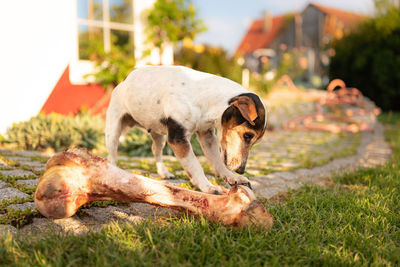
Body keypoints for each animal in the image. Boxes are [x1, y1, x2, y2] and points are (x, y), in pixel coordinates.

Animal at [106, 65, 268, 195]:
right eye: (248, 136)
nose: (241, 170)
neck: (204, 98)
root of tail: (124, 81)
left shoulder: (207, 136)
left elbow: (217, 161)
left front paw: (232, 177)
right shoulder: (178, 139)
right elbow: (195, 165)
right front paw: (207, 186)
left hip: (160, 136)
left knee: (156, 152)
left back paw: (164, 172)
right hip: (113, 131)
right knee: (112, 156)